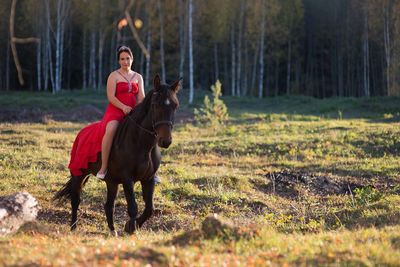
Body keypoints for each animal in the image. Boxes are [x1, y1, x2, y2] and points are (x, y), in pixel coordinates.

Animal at [54, 75, 181, 237]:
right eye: (155, 105)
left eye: (175, 105)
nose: (166, 141)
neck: (142, 144)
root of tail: (81, 133)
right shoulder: (128, 179)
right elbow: (133, 207)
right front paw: (131, 228)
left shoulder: (149, 178)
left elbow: (149, 209)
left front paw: (131, 226)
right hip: (78, 174)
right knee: (75, 200)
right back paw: (73, 227)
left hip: (112, 182)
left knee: (109, 205)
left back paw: (112, 230)